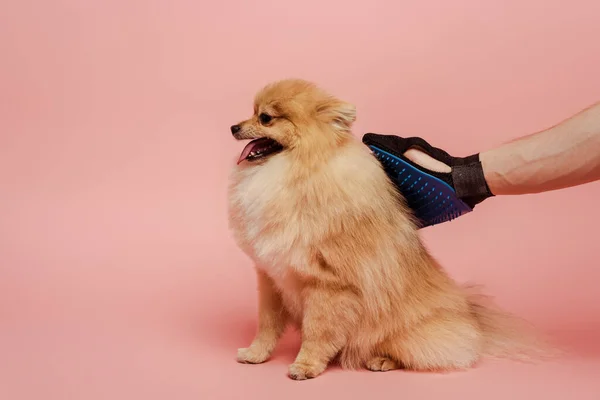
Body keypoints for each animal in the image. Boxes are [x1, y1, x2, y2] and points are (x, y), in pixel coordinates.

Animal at [229, 79, 544, 382]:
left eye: (266, 118)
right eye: (252, 111)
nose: (234, 127)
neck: (294, 169)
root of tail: (471, 317)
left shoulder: (329, 283)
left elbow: (318, 332)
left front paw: (306, 366)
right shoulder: (272, 276)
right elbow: (267, 325)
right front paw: (256, 354)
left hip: (408, 334)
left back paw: (382, 360)